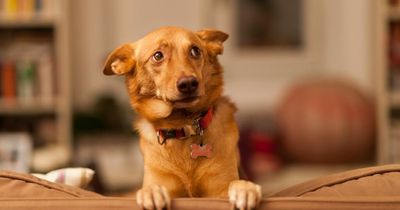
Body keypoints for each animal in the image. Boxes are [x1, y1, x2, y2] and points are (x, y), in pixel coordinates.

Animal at [102, 26, 262, 210]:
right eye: (158, 56)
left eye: (195, 51)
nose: (188, 84)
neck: (182, 125)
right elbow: (150, 187)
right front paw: (151, 192)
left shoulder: (218, 188)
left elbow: (234, 183)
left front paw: (245, 188)